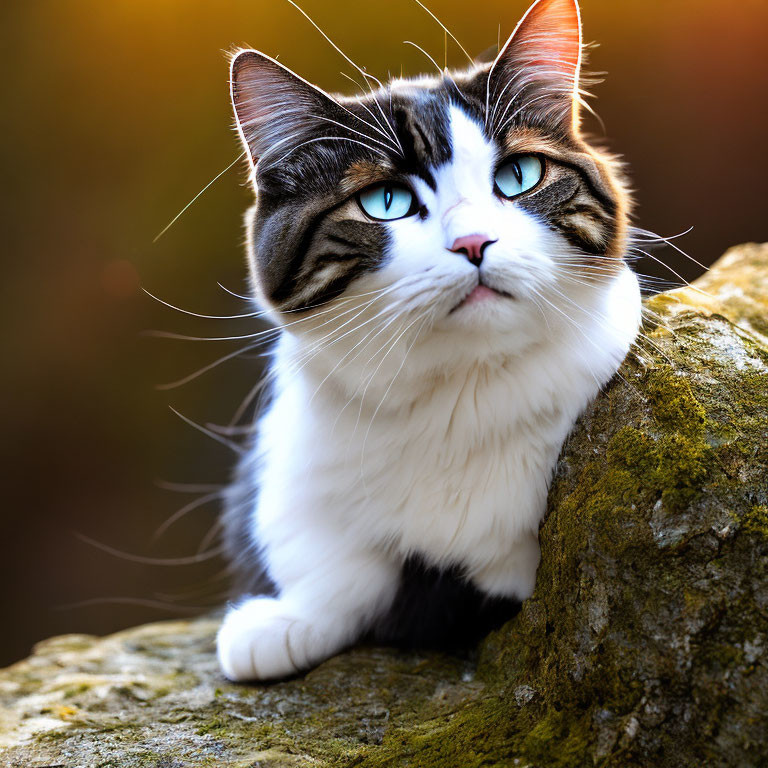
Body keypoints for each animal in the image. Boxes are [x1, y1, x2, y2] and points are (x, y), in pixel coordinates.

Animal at [213, 0, 640, 680]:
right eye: (385, 201)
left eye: (519, 175)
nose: (473, 242)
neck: (456, 392)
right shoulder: (287, 453)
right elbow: (323, 550)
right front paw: (288, 621)